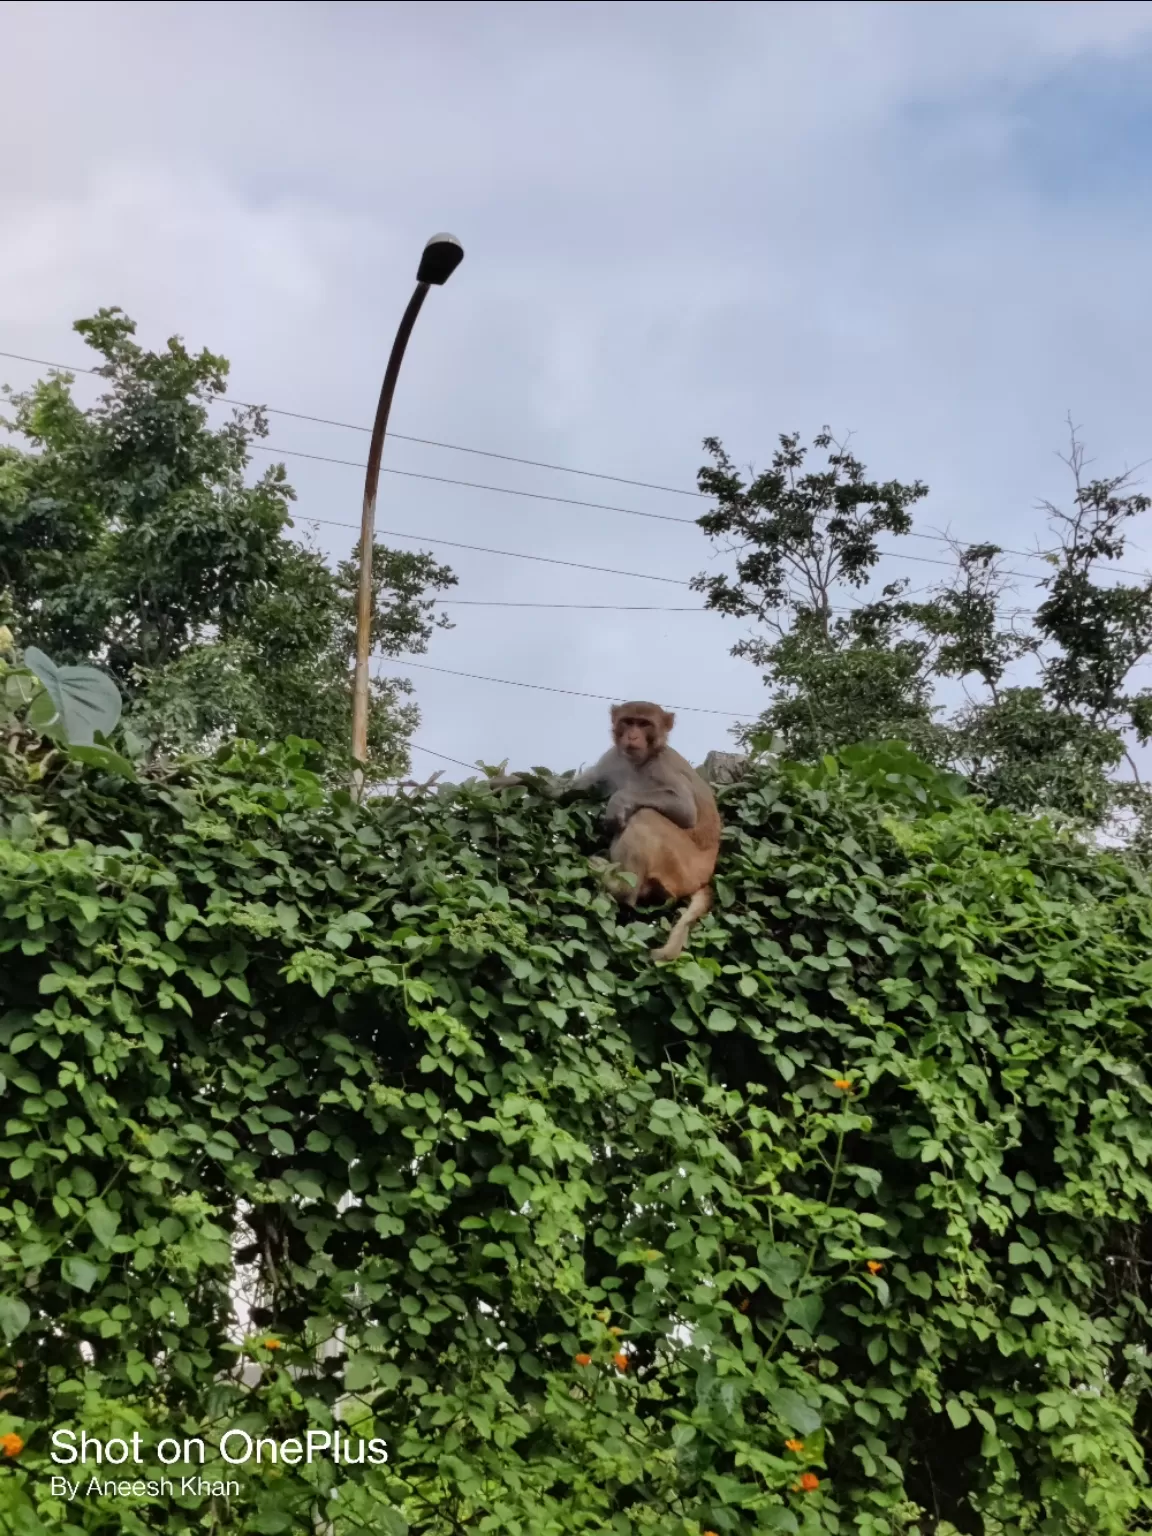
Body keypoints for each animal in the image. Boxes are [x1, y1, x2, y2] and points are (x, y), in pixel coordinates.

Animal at [488, 700, 721, 958]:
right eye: (628, 722)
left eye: (645, 724)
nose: (632, 735)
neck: (636, 762)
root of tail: (703, 878)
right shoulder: (611, 759)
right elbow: (566, 792)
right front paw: (506, 781)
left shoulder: (662, 766)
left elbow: (685, 809)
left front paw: (618, 801)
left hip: (682, 869)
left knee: (646, 815)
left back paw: (621, 888)